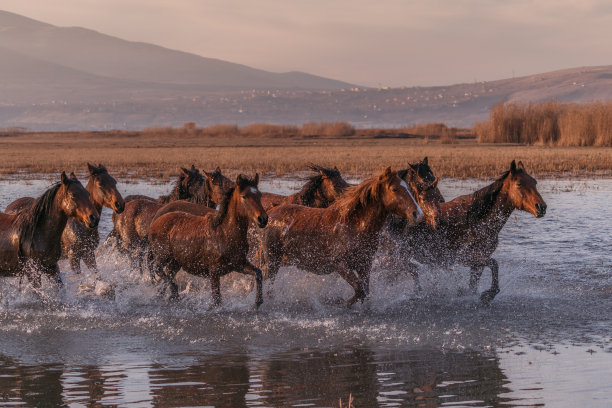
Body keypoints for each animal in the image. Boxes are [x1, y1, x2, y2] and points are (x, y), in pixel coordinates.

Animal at [149, 174, 268, 308]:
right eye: (244, 196)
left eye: (259, 195)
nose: (263, 219)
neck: (225, 232)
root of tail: (155, 222)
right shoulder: (214, 272)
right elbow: (217, 300)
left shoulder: (238, 264)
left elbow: (258, 273)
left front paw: (258, 302)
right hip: (163, 255)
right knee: (158, 269)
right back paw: (174, 290)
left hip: (176, 262)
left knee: (167, 274)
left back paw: (172, 296)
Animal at [260, 167, 424, 306]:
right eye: (395, 189)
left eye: (408, 188)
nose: (418, 214)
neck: (354, 225)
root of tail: (271, 213)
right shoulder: (340, 265)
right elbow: (360, 290)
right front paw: (342, 303)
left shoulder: (365, 265)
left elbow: (365, 292)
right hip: (273, 260)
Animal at [394, 161, 548, 304]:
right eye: (519, 184)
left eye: (534, 182)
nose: (541, 207)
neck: (477, 219)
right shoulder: (464, 257)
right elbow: (494, 264)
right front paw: (488, 294)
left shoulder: (478, 262)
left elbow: (474, 285)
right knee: (411, 270)